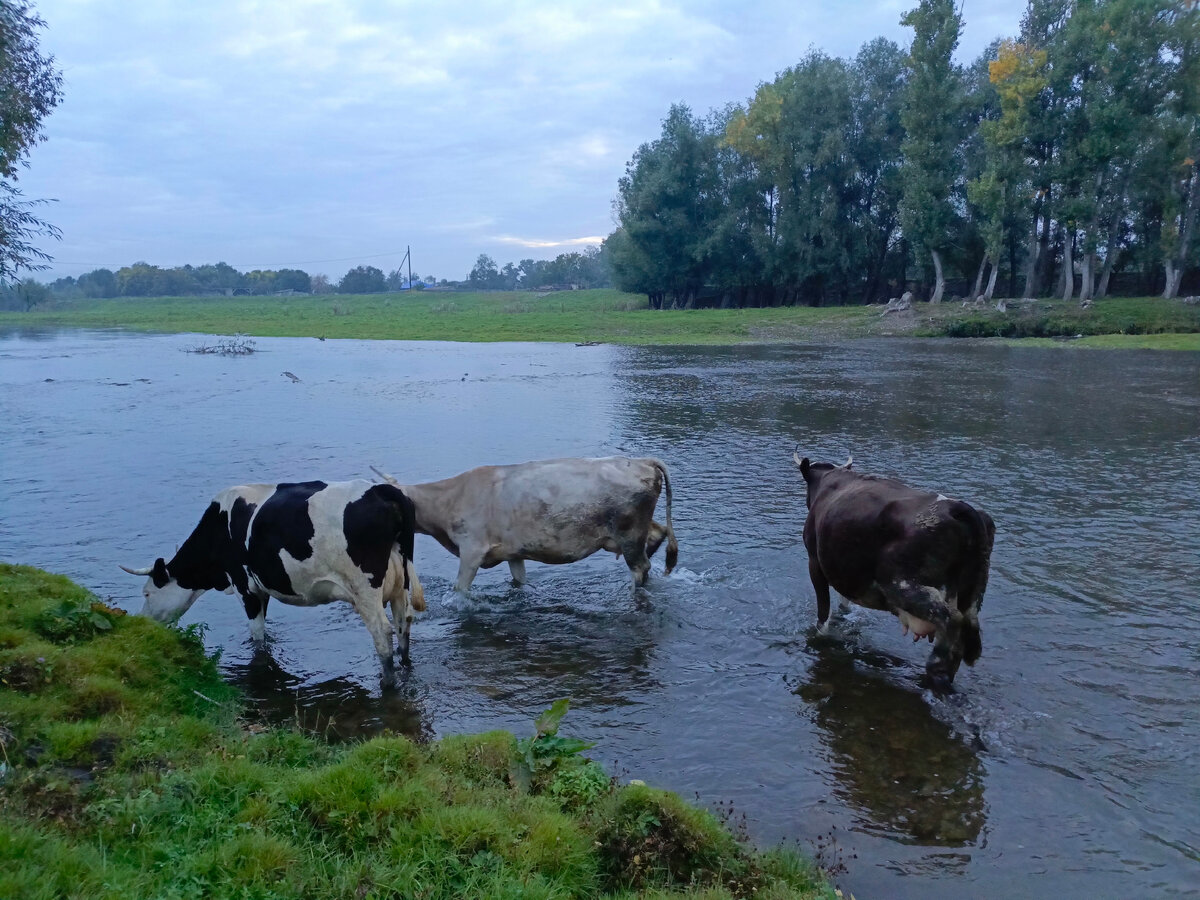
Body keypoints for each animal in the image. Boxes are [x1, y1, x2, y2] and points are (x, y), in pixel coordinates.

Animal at [124, 482, 424, 686]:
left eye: (147, 593)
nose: (141, 623)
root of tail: (381, 490)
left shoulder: (245, 586)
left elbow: (257, 635)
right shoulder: (261, 587)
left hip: (364, 589)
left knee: (382, 631)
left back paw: (387, 682)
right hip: (400, 582)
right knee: (403, 622)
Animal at [796, 453, 993, 686]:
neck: (830, 478)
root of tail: (958, 508)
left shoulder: (814, 561)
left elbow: (823, 610)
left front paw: (819, 635)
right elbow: (843, 602)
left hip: (901, 584)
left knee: (951, 619)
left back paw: (937, 669)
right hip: (972, 592)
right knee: (968, 624)